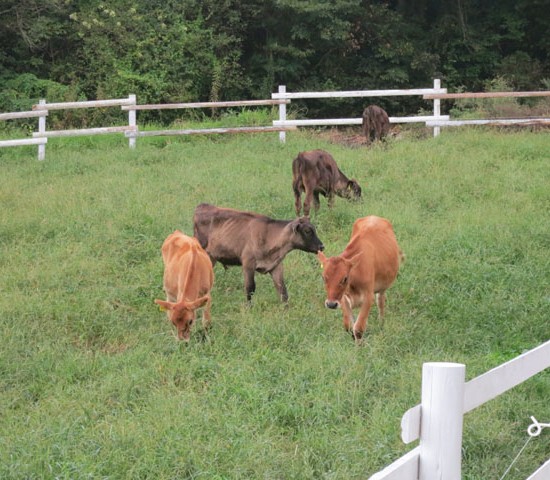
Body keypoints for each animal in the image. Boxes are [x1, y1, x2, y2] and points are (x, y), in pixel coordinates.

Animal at [194, 203, 326, 302]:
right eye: (307, 231)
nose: (322, 246)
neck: (268, 236)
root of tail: (203, 206)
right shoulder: (248, 264)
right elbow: (250, 288)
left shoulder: (276, 266)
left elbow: (282, 290)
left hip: (212, 257)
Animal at [316, 216, 404, 344]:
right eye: (323, 277)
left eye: (345, 278)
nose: (331, 304)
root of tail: (374, 216)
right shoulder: (343, 298)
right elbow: (349, 326)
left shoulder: (368, 297)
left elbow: (358, 328)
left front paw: (359, 347)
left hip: (382, 287)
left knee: (381, 301)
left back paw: (381, 323)